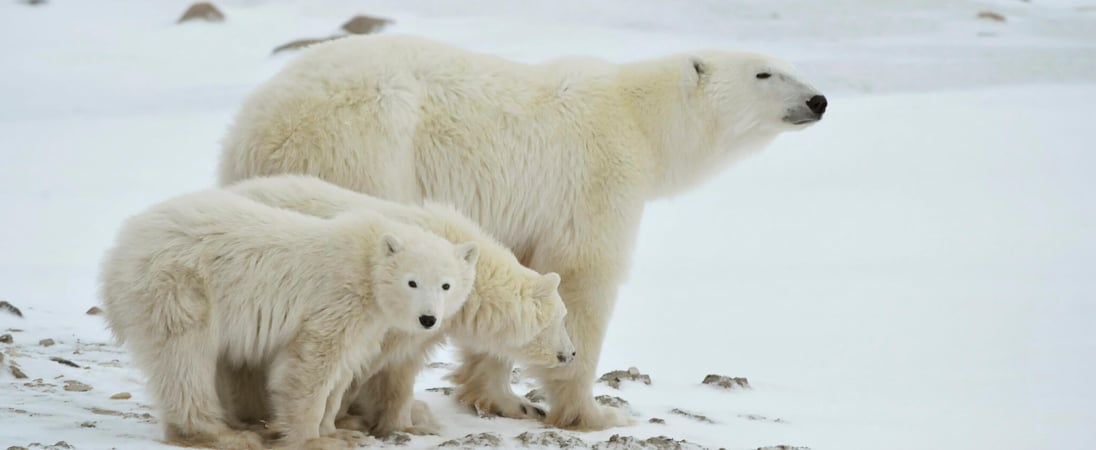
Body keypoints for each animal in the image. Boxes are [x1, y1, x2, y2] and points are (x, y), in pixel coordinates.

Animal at [97, 188, 480, 448]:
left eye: (446, 285)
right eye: (412, 281)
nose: (428, 319)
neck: (365, 261)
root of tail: (119, 249)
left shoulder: (367, 322)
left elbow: (341, 370)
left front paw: (338, 430)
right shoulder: (336, 299)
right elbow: (311, 363)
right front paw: (316, 439)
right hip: (180, 286)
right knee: (185, 359)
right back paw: (224, 435)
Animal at [225, 175, 578, 437]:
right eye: (562, 319)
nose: (571, 353)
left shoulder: (423, 324)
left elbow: (399, 369)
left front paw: (404, 425)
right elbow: (360, 366)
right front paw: (345, 420)